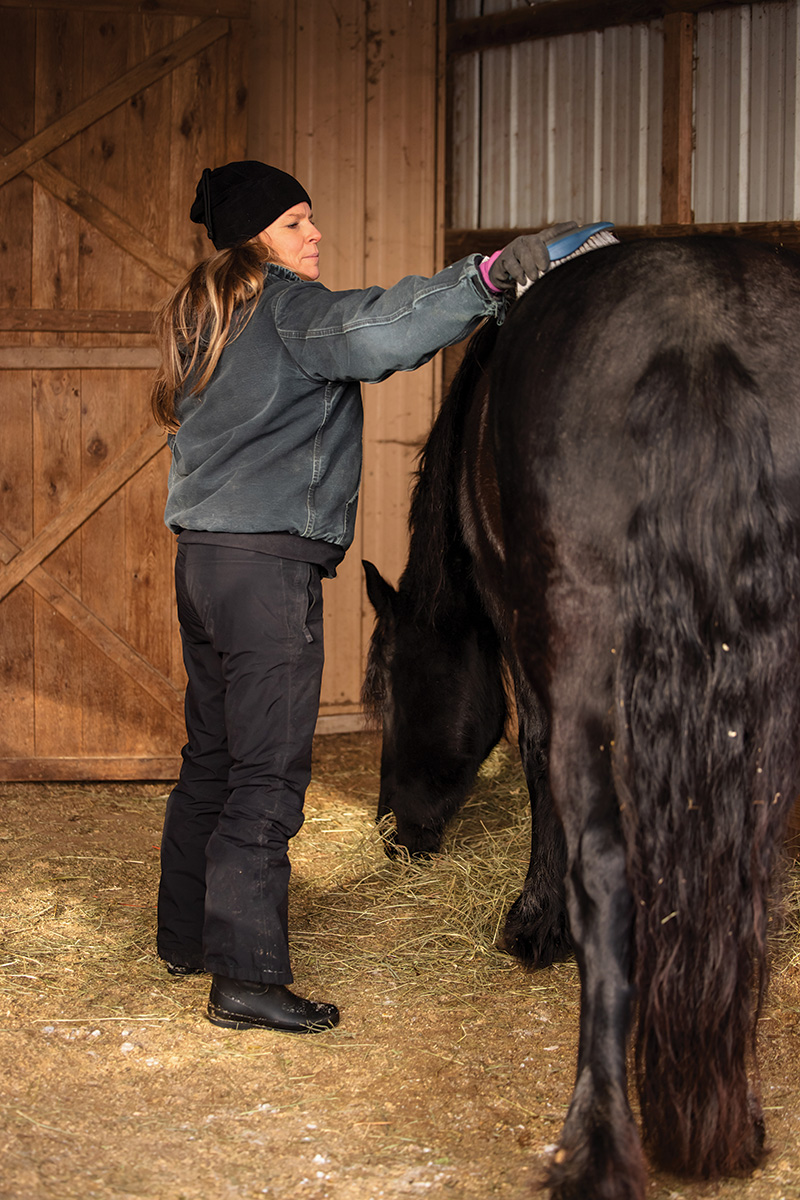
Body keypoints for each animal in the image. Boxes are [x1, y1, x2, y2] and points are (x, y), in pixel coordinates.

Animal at [362, 236, 800, 1200]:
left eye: (392, 689)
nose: (395, 829)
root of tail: (698, 339)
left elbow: (532, 764)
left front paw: (534, 921)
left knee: (606, 869)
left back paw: (595, 1142)